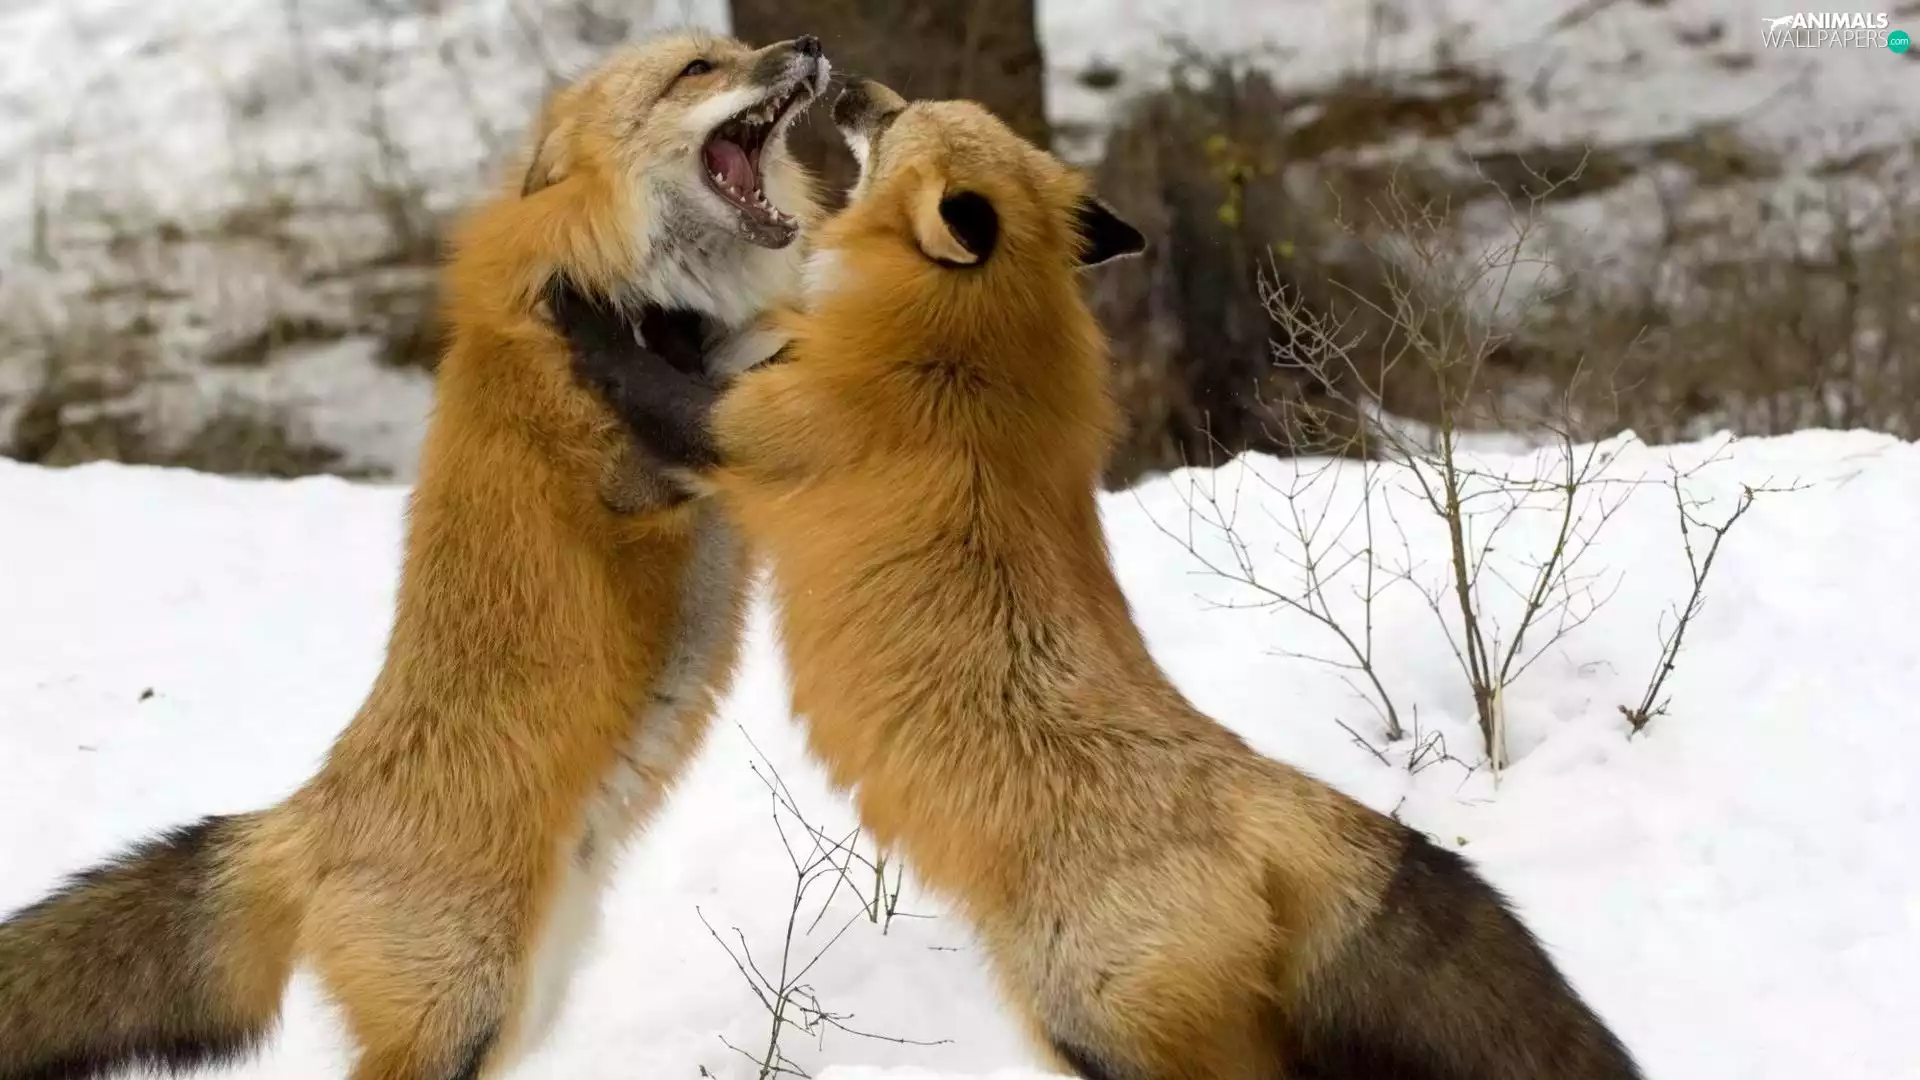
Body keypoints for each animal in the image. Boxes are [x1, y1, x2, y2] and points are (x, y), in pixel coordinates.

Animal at [0, 30, 829, 1080]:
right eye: (697, 72)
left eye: (733, 51)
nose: (806, 43)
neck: (621, 286)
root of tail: (306, 819)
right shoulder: (643, 477)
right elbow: (734, 382)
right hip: (462, 1013)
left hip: (520, 1009)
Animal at [548, 77, 1648, 1080]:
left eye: (897, 118)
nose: (846, 81)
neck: (968, 352)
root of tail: (1271, 801)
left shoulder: (752, 431)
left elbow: (642, 377)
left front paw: (583, 302)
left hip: (1091, 1024)